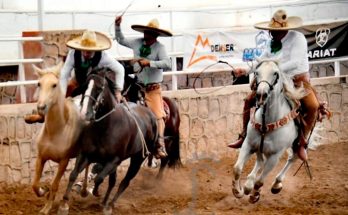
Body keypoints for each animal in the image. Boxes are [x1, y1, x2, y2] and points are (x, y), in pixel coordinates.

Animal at [30, 61, 85, 213]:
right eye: (39, 83)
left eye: (54, 85)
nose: (41, 107)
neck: (56, 131)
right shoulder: (41, 157)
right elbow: (35, 183)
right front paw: (43, 191)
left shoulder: (63, 162)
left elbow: (55, 185)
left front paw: (47, 208)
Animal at [58, 69, 159, 214]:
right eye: (85, 86)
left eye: (100, 88)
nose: (84, 113)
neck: (106, 126)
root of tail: (151, 116)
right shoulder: (86, 155)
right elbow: (73, 174)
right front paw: (64, 204)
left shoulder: (114, 160)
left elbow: (100, 178)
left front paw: (94, 192)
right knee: (113, 180)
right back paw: (105, 202)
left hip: (137, 159)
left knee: (124, 182)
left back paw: (109, 204)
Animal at [232, 60, 306, 203]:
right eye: (256, 72)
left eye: (275, 73)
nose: (261, 94)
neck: (267, 121)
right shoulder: (248, 144)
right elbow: (237, 168)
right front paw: (238, 191)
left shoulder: (275, 156)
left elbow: (260, 181)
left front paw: (255, 195)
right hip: (260, 148)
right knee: (260, 161)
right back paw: (248, 184)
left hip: (298, 144)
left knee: (292, 158)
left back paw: (276, 184)